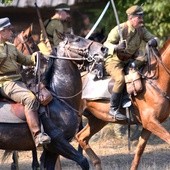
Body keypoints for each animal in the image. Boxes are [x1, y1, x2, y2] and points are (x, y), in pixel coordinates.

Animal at [76, 39, 170, 170]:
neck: (156, 82)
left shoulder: (148, 126)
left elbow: (138, 152)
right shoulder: (151, 122)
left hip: (98, 120)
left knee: (81, 137)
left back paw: (96, 163)